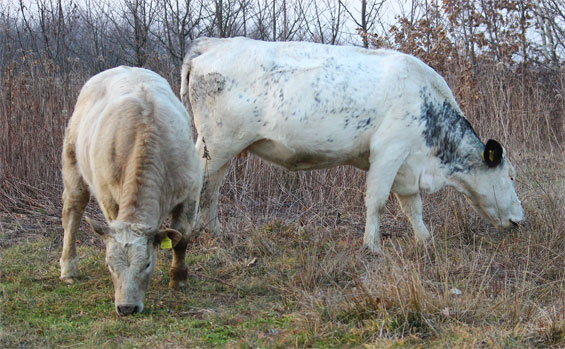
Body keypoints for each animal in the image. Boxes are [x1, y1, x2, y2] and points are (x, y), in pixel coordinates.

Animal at [60, 66, 202, 316]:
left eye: (147, 263)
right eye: (109, 264)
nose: (126, 307)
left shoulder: (191, 191)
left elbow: (181, 238)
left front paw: (179, 279)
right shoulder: (108, 196)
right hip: (72, 163)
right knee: (72, 214)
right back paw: (68, 269)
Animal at [181, 36, 524, 251]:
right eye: (510, 176)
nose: (520, 221)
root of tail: (213, 43)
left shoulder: (406, 165)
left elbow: (412, 206)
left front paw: (425, 240)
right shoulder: (388, 152)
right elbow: (377, 201)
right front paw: (372, 246)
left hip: (224, 151)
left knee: (212, 190)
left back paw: (215, 232)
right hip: (214, 144)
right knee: (198, 185)